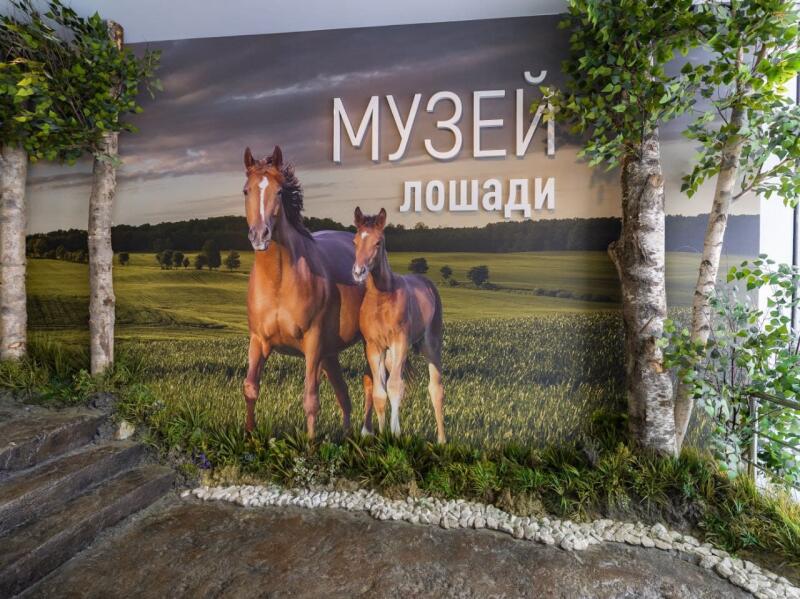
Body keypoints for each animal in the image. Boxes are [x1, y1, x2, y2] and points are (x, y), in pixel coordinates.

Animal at [242, 145, 372, 438]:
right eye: (246, 190)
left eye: (279, 191)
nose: (260, 235)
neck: (279, 281)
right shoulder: (258, 341)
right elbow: (251, 388)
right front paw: (250, 436)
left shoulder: (312, 344)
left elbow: (310, 399)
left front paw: (311, 444)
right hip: (330, 353)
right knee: (344, 394)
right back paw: (346, 437)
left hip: (366, 345)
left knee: (374, 385)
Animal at [351, 207, 446, 444]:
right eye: (355, 241)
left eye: (378, 242)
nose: (358, 272)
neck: (381, 298)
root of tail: (427, 283)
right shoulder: (374, 347)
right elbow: (380, 392)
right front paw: (381, 434)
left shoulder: (399, 343)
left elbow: (394, 387)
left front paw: (395, 434)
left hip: (430, 345)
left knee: (435, 388)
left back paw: (442, 440)